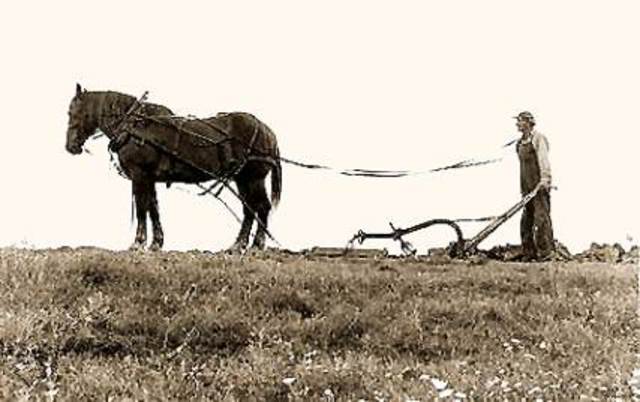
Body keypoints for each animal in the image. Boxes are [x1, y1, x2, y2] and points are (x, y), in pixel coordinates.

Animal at [65, 83, 282, 252]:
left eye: (72, 112)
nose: (70, 146)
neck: (134, 126)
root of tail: (267, 131)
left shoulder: (139, 174)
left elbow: (142, 207)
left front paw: (138, 243)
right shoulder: (149, 178)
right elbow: (153, 207)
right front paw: (156, 243)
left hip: (253, 178)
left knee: (261, 207)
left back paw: (256, 245)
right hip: (241, 179)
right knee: (249, 210)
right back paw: (238, 246)